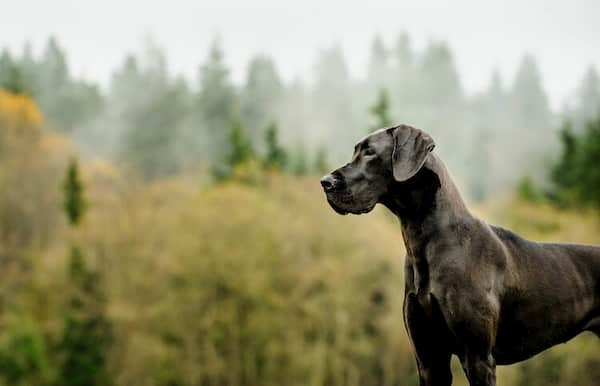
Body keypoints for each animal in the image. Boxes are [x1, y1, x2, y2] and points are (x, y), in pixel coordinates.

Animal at [322, 123, 600, 386]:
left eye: (370, 152)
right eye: (356, 150)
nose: (325, 182)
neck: (425, 242)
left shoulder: (477, 357)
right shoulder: (429, 358)